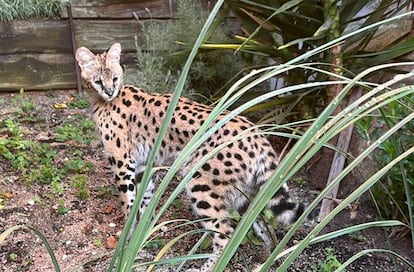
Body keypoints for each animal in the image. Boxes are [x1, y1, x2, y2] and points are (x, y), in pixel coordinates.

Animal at [76, 43, 306, 272]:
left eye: (114, 78)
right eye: (98, 80)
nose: (109, 91)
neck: (103, 100)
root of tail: (256, 132)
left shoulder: (123, 165)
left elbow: (129, 204)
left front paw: (128, 240)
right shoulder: (142, 166)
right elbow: (143, 202)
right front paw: (142, 234)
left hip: (200, 184)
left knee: (225, 234)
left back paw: (208, 266)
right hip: (244, 192)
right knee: (259, 224)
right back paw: (268, 257)